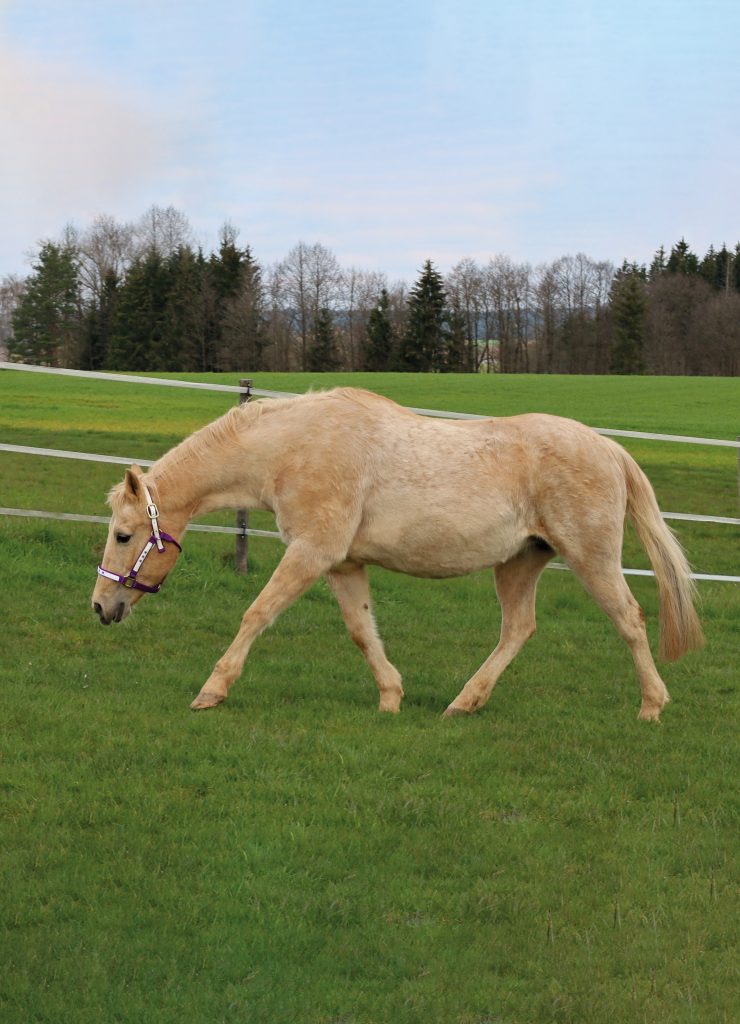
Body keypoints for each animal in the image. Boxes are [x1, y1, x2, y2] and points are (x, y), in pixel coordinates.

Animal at [91, 387, 703, 720]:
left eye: (122, 535)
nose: (101, 607)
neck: (294, 447)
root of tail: (607, 447)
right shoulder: (342, 563)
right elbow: (362, 630)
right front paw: (390, 696)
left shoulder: (312, 552)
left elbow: (257, 613)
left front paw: (211, 692)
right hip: (520, 562)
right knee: (518, 629)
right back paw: (464, 702)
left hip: (591, 558)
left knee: (630, 619)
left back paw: (652, 705)